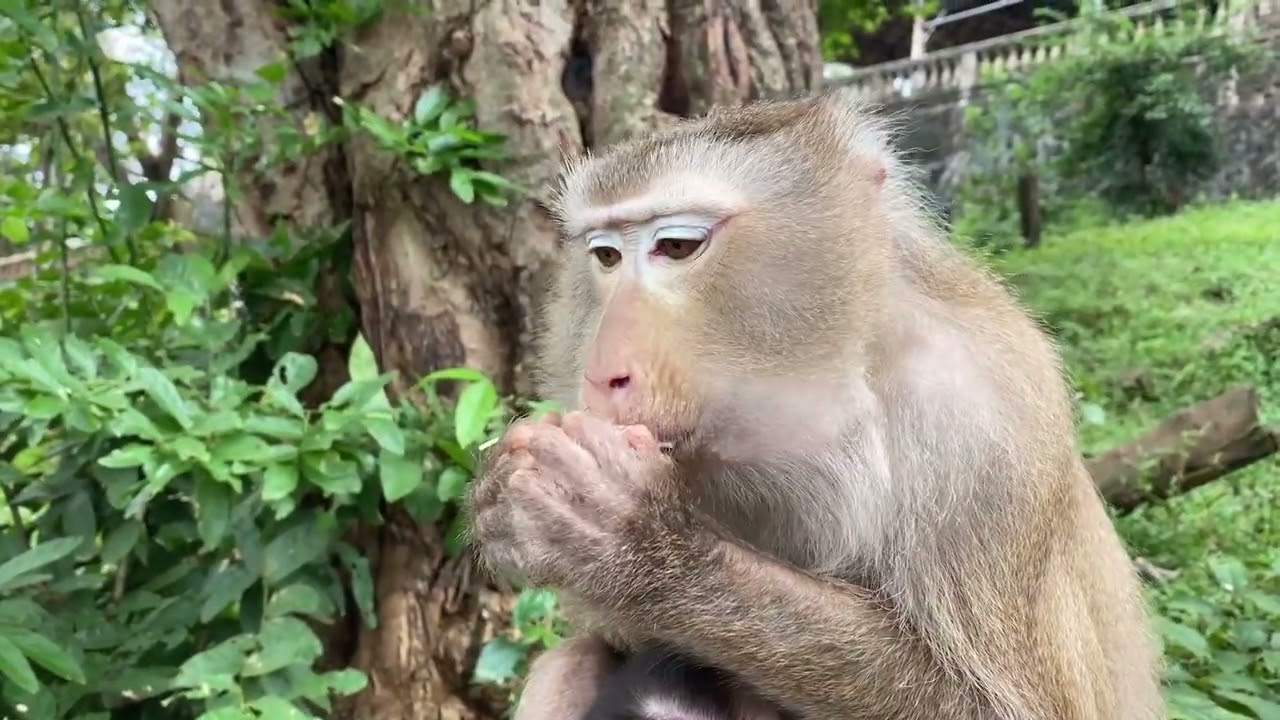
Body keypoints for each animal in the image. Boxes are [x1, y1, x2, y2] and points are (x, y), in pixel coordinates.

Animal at [466, 88, 1164, 720]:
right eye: (606, 256)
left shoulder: (982, 430)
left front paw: (631, 542)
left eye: (678, 246)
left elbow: (1003, 707)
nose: (601, 373)